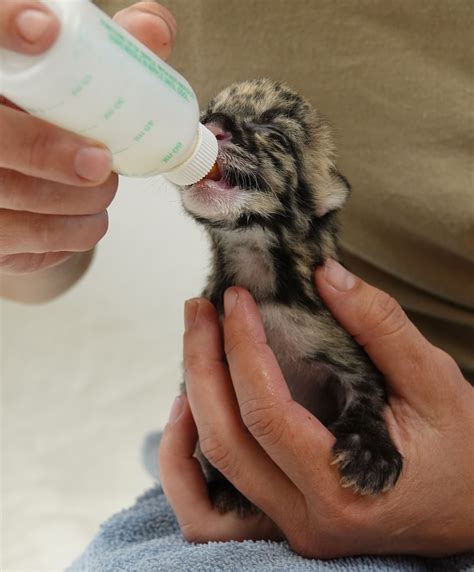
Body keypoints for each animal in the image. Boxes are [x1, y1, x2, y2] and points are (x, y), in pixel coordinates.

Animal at [180, 79, 402, 512]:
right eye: (208, 111)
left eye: (275, 134)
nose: (212, 124)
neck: (257, 273)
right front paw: (227, 483)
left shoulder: (348, 353)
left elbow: (370, 393)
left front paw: (371, 453)